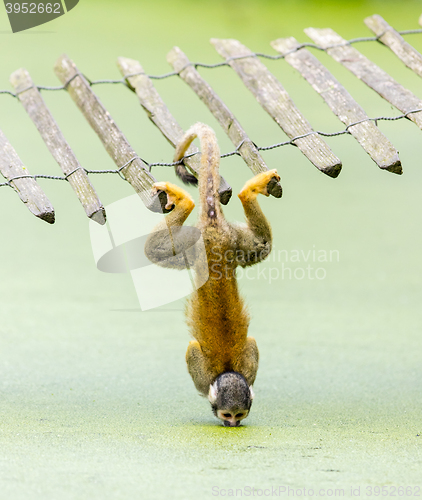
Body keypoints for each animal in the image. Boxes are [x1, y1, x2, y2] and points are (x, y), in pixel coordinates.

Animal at [145, 123, 280, 424]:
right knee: (153, 251)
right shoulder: (204, 371)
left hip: (231, 240)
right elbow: (191, 351)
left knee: (262, 247)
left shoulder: (247, 365)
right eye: (227, 414)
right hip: (199, 246)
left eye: (240, 414)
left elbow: (251, 342)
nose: (233, 424)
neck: (228, 368)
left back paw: (243, 193)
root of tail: (214, 228)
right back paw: (191, 201)